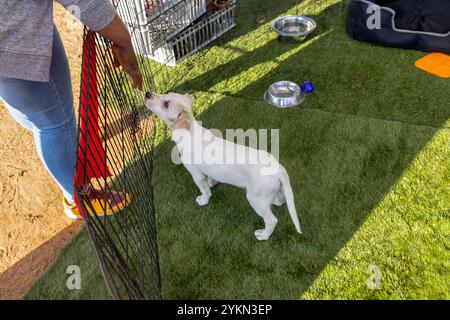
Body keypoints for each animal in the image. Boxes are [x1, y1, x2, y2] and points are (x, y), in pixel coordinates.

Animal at [146, 90, 300, 240]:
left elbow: (205, 191)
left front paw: (204, 200)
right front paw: (212, 183)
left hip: (254, 198)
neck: (190, 131)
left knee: (271, 220)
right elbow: (211, 179)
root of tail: (278, 168)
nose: (147, 94)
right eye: (166, 93)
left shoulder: (197, 175)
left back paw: (263, 235)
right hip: (272, 191)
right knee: (281, 200)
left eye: (166, 104)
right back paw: (274, 202)